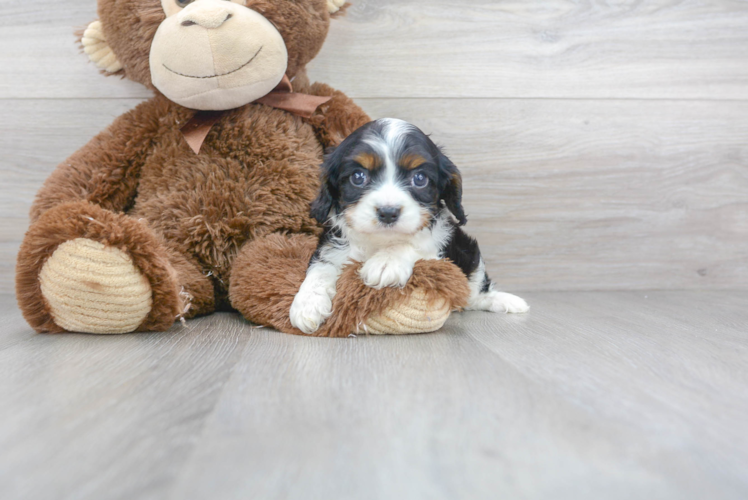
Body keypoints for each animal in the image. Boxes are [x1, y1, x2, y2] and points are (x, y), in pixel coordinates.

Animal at [290, 118, 528, 334]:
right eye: (358, 177)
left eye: (420, 178)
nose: (388, 212)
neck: (380, 240)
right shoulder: (332, 244)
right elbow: (321, 267)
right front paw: (307, 304)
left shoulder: (441, 245)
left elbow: (415, 244)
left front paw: (386, 262)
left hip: (470, 253)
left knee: (476, 293)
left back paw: (504, 301)